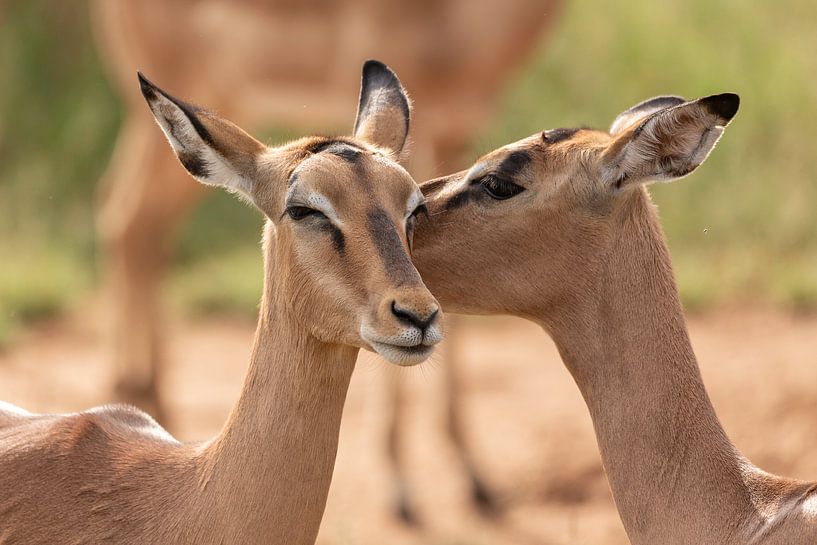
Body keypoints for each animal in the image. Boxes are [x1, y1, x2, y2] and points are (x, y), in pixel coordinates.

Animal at [91, 0, 560, 520]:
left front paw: (476, 478)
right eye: (303, 209)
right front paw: (403, 489)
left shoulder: (457, 132)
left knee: (135, 225)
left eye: (414, 208)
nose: (418, 317)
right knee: (131, 222)